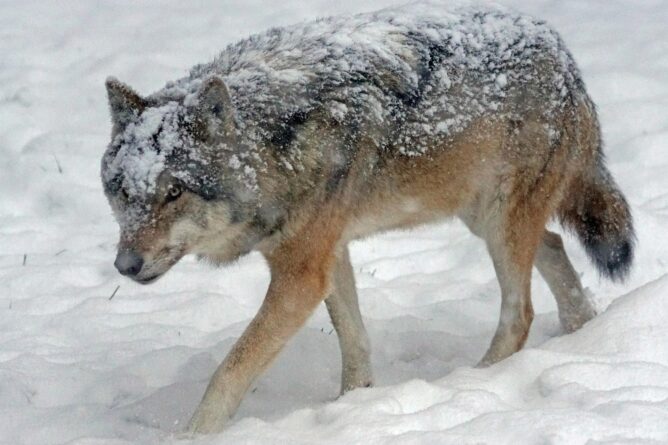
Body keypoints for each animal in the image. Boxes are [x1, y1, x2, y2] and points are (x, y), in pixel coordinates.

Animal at [101, 2, 634, 434]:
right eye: (123, 191)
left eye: (174, 192)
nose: (125, 266)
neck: (274, 148)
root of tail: (560, 49)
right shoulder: (327, 256)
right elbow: (354, 340)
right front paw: (353, 406)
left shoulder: (301, 275)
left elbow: (229, 371)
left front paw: (191, 435)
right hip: (483, 217)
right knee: (555, 248)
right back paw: (583, 332)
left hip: (500, 224)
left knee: (519, 313)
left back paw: (473, 380)